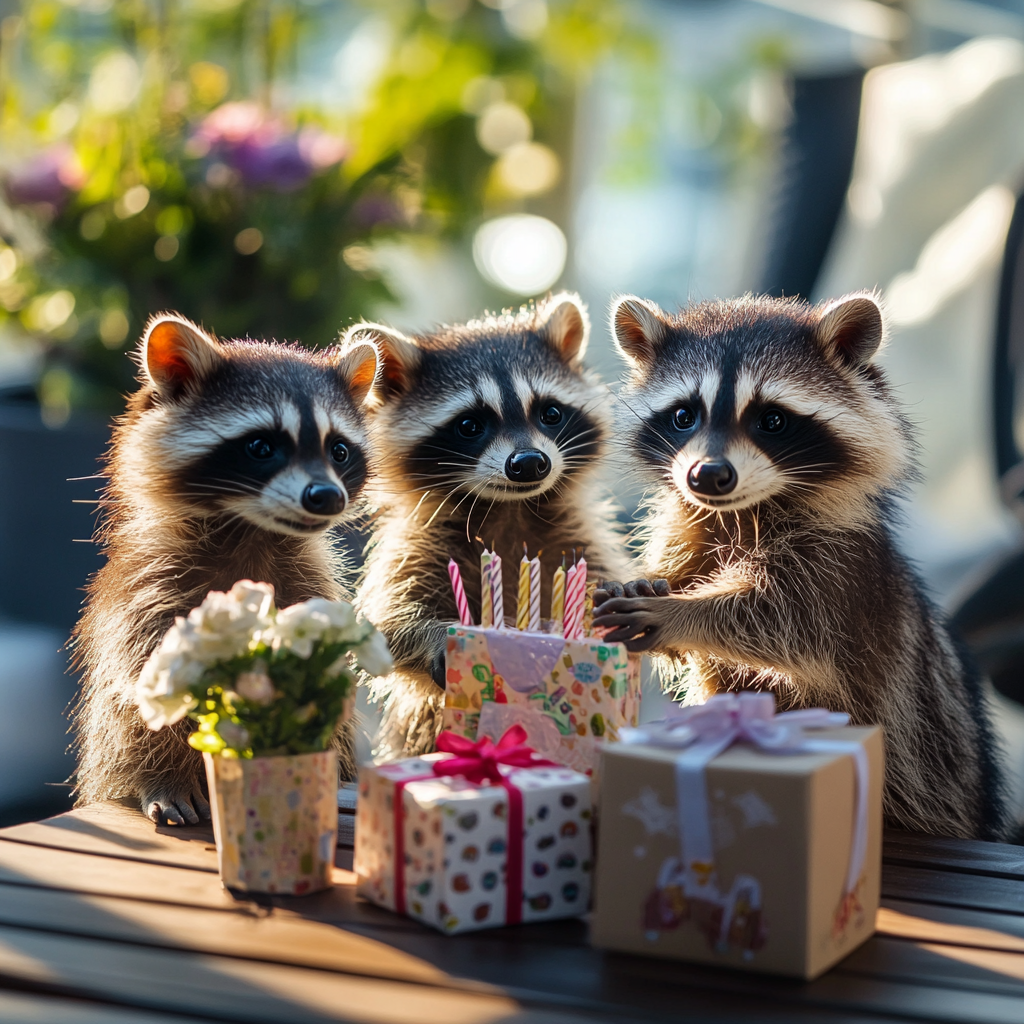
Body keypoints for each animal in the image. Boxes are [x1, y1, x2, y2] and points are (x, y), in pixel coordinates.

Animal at [72, 314, 379, 825]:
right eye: (261, 446)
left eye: (338, 450)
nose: (327, 496)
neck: (252, 529)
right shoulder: (149, 579)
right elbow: (145, 675)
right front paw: (170, 768)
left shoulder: (309, 581)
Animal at [348, 293, 629, 761]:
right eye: (469, 425)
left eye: (550, 412)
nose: (530, 463)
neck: (509, 508)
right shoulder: (421, 542)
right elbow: (386, 623)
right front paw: (435, 637)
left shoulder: (576, 535)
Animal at [593, 292, 1007, 840]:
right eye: (684, 415)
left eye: (771, 419)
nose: (708, 475)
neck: (742, 513)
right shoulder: (691, 526)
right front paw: (656, 584)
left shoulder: (841, 568)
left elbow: (787, 621)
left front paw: (682, 613)